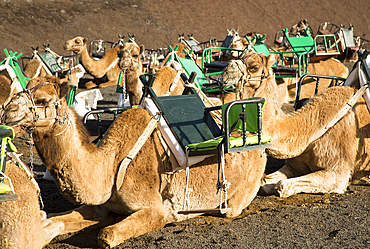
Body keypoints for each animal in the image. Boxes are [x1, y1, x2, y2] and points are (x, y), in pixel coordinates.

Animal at [2, 75, 268, 248]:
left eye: (43, 100)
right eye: (22, 90)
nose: (7, 111)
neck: (110, 166)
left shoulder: (157, 210)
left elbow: (106, 236)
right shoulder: (101, 206)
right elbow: (58, 219)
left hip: (237, 200)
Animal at [220, 50, 370, 198]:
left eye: (254, 67)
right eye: (240, 57)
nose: (225, 74)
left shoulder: (338, 172)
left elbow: (281, 185)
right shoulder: (293, 166)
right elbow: (265, 183)